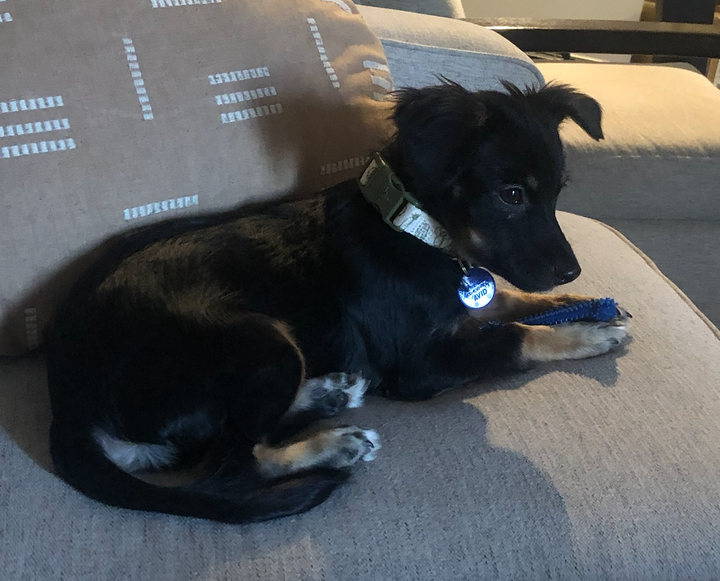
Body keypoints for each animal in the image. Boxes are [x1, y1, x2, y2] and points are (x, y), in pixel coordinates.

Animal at [45, 80, 632, 520]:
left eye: (557, 192)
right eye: (512, 196)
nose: (572, 270)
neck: (414, 230)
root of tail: (66, 395)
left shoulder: (469, 305)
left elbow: (512, 303)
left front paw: (589, 302)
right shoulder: (416, 370)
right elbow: (514, 335)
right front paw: (586, 334)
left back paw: (328, 393)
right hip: (260, 341)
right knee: (229, 467)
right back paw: (335, 444)